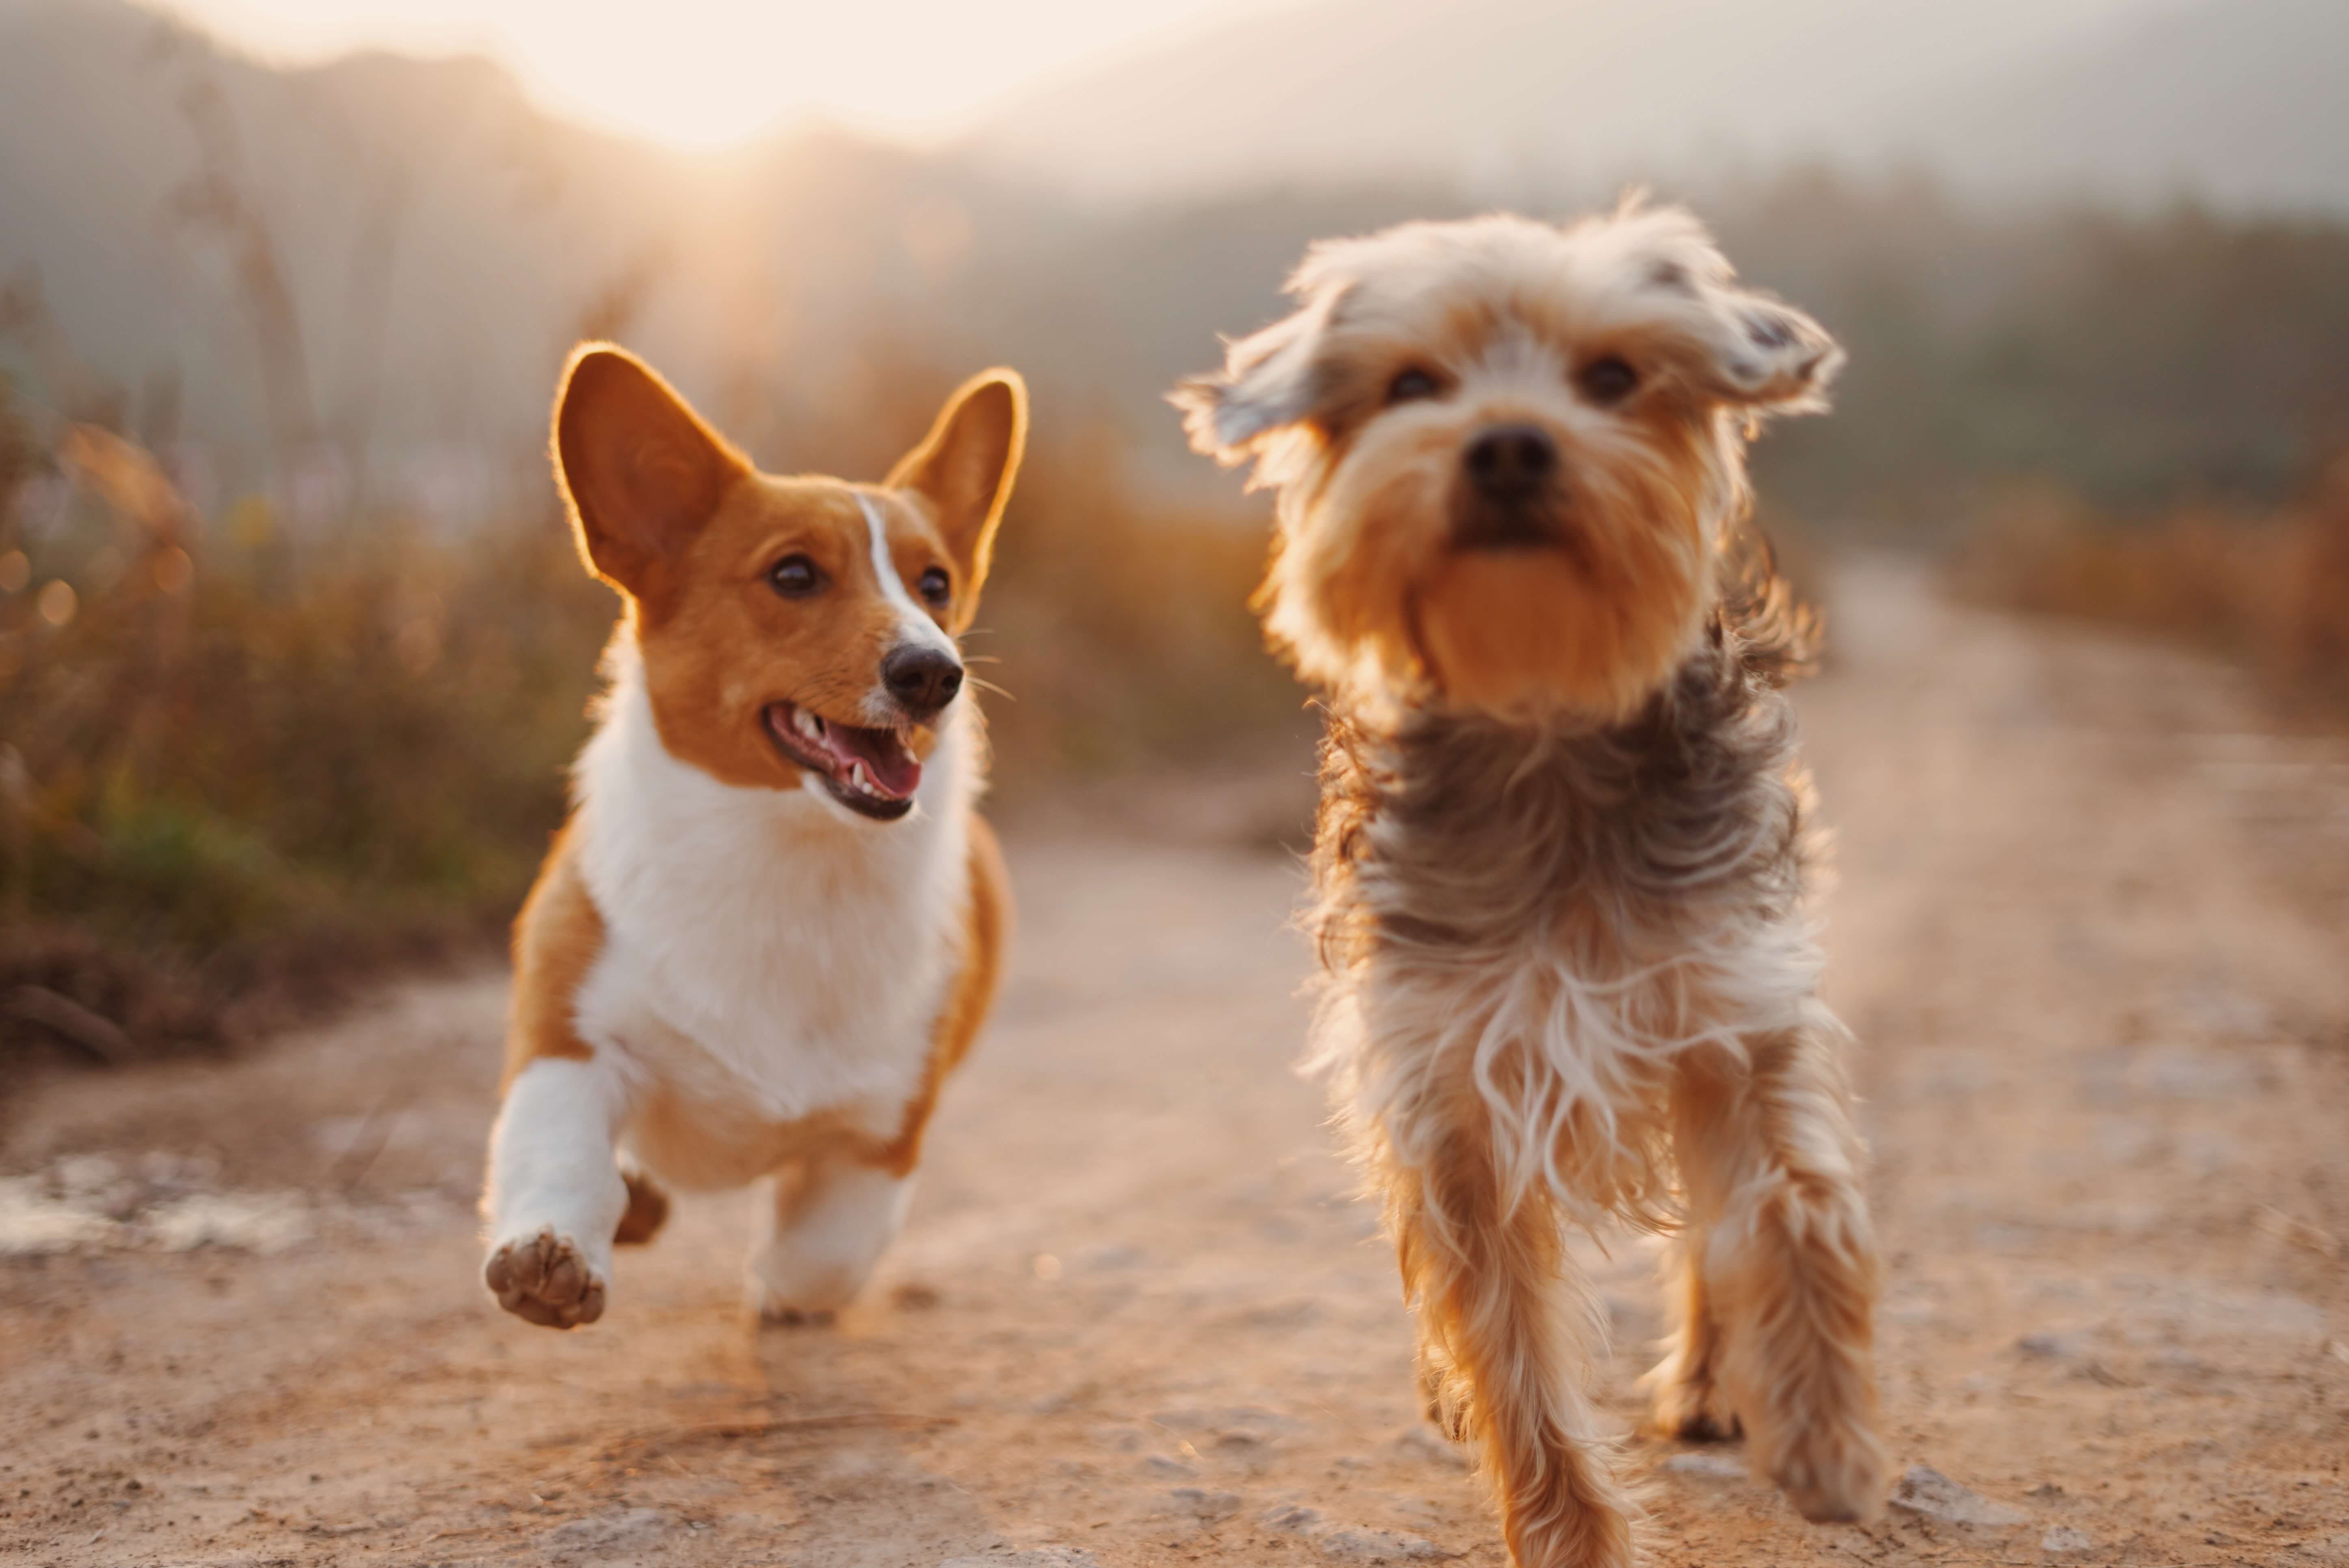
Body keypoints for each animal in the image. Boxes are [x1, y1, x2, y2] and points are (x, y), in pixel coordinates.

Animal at [481, 350, 1024, 1333]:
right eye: (794, 575)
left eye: (934, 585)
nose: (935, 673)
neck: (788, 852)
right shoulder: (569, 1039)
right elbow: (559, 1153)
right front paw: (551, 1253)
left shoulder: (882, 1131)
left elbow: (822, 1256)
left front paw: (776, 1288)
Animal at [1174, 208, 1888, 1568]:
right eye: (1412, 385)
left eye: (1612, 376)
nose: (1507, 442)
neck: (1544, 719)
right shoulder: (1446, 1083)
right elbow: (1507, 1343)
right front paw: (1570, 1534)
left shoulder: (1730, 1003)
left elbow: (1794, 1205)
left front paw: (1824, 1427)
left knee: (1709, 1235)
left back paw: (1715, 1382)